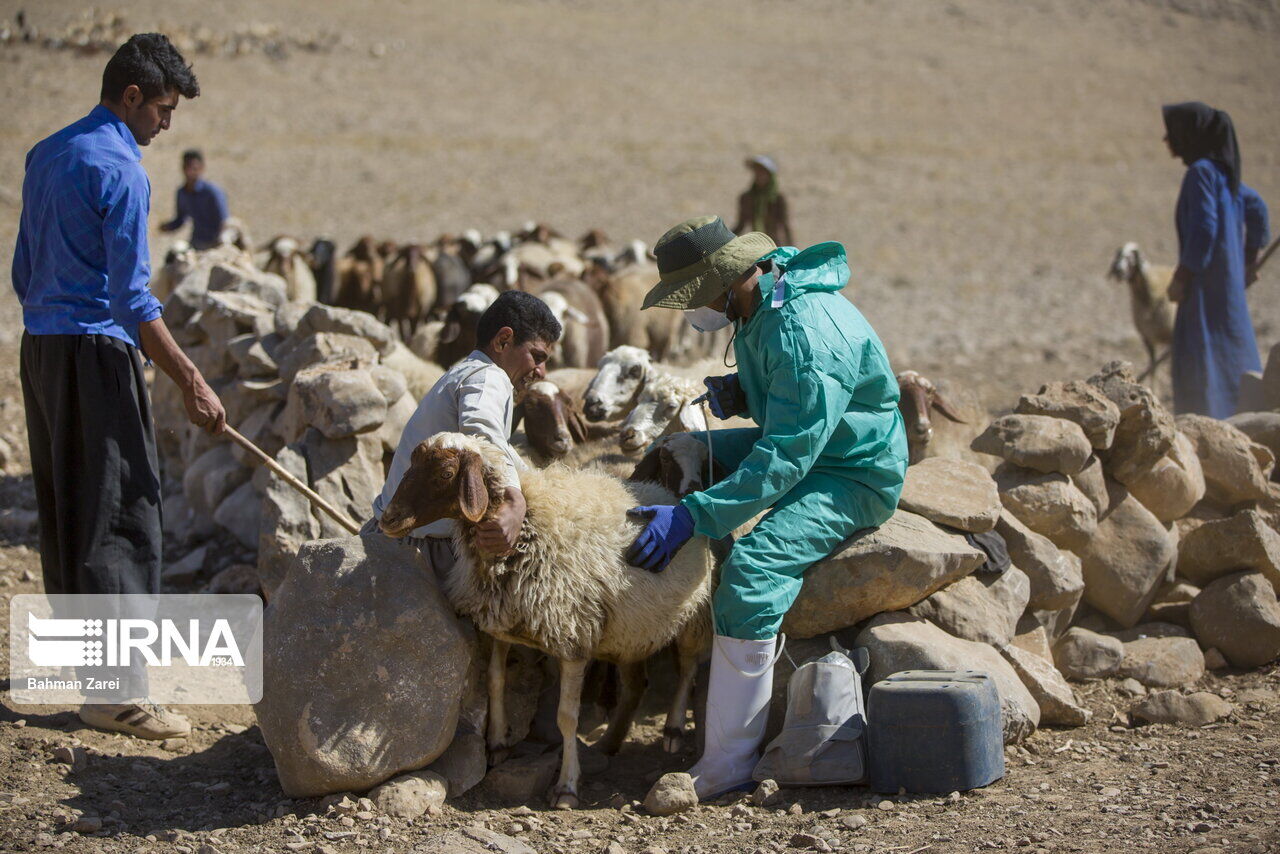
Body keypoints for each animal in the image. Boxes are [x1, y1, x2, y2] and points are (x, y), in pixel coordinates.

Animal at [378, 435, 721, 809]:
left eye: (445, 473)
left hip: (693, 613)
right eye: (411, 465)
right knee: (635, 685)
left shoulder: (572, 637)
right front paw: (497, 743)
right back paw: (609, 743)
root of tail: (667, 494)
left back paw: (673, 729)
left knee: (687, 668)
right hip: (632, 628)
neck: (524, 529)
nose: (388, 519)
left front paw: (567, 786)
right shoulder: (501, 622)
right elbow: (495, 680)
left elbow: (566, 717)